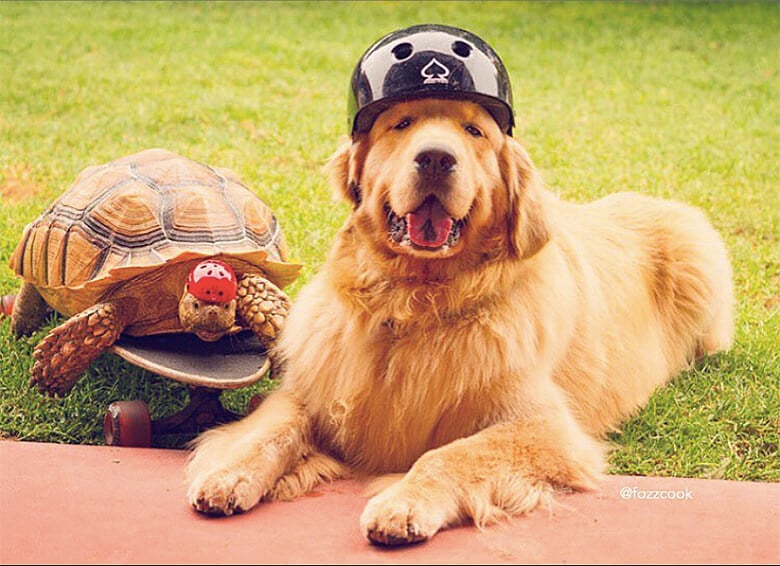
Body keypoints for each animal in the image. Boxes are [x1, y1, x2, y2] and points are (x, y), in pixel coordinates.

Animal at [186, 96, 736, 544]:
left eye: (474, 131)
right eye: (402, 124)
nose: (435, 158)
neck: (414, 305)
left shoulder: (547, 429)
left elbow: (451, 453)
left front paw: (403, 503)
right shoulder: (312, 388)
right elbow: (270, 430)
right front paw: (228, 472)